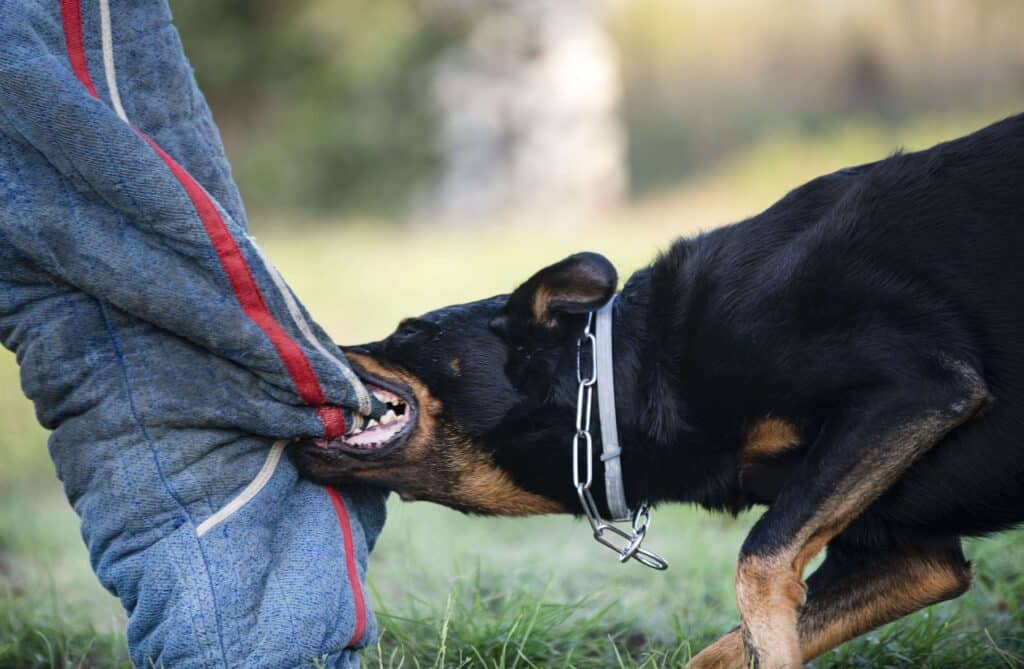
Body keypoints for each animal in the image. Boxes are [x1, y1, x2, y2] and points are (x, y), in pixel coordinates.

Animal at [292, 116, 1019, 667]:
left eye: (410, 329)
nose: (311, 336)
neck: (626, 377)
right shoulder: (914, 554)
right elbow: (723, 648)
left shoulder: (918, 385)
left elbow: (757, 569)